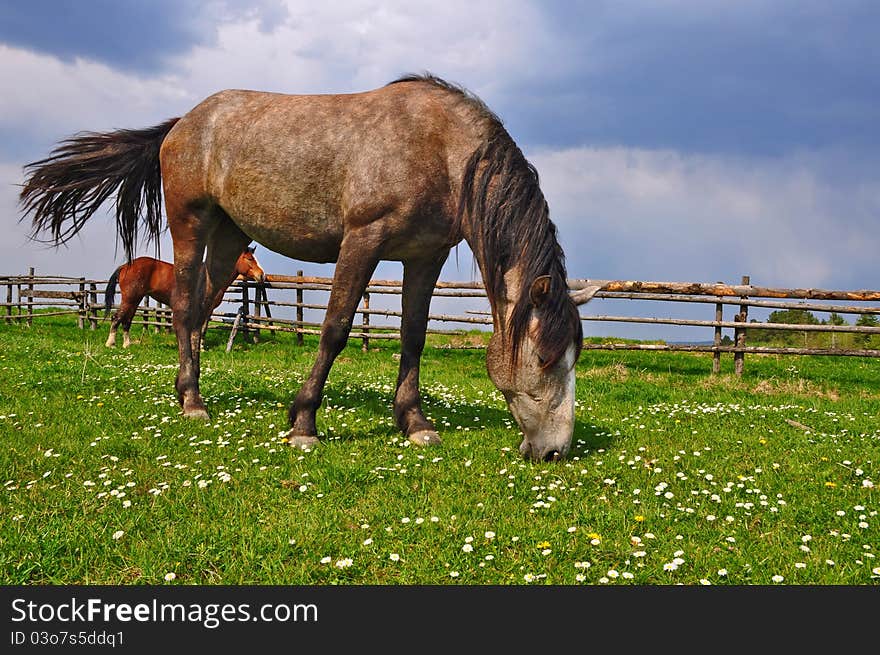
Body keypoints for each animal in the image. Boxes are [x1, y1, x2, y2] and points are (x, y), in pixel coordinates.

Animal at [102, 246, 262, 348]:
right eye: (249, 259)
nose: (261, 275)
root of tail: (125, 266)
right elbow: (200, 328)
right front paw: (199, 346)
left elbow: (202, 327)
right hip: (129, 299)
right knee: (117, 317)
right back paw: (111, 344)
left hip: (135, 299)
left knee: (127, 320)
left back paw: (127, 344)